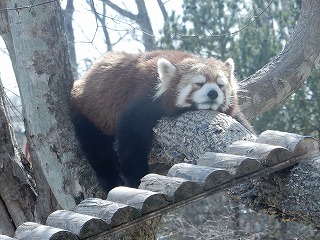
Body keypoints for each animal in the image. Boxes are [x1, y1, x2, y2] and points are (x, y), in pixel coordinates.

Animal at [70, 50, 252, 191]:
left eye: (220, 85)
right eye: (199, 83)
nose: (213, 93)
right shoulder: (143, 97)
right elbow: (131, 141)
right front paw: (137, 178)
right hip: (89, 114)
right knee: (97, 146)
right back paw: (111, 179)